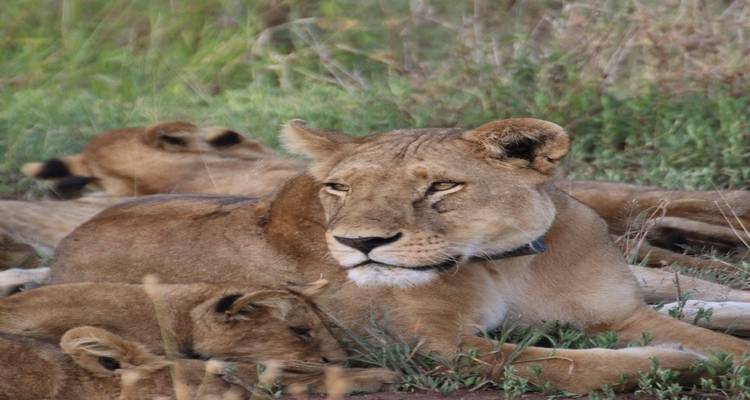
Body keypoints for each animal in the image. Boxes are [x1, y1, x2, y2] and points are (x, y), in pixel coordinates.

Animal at [49, 118, 750, 393]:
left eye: (440, 186)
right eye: (338, 187)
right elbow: (567, 365)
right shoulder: (437, 348)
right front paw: (679, 362)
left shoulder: (618, 316)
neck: (507, 262)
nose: (360, 243)